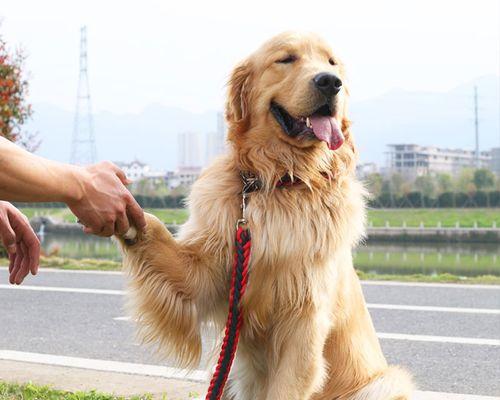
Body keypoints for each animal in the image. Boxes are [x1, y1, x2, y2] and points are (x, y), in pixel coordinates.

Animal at [118, 32, 414, 400]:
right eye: (286, 59)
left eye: (331, 63)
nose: (331, 82)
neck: (282, 179)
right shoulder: (209, 273)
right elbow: (161, 237)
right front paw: (119, 203)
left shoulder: (304, 321)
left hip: (385, 382)